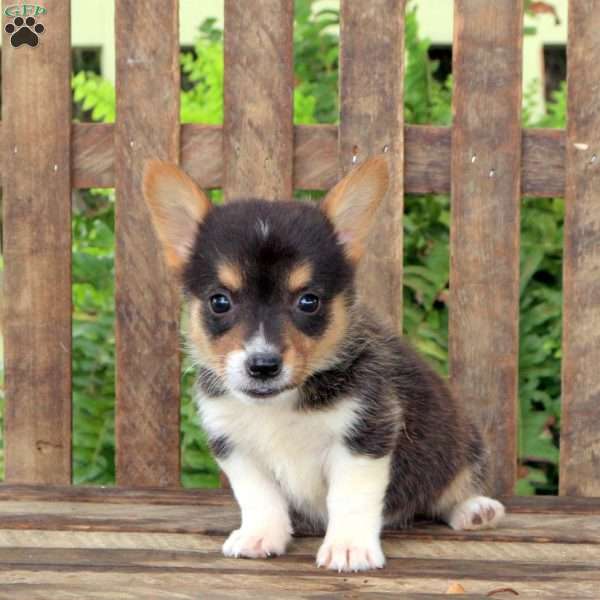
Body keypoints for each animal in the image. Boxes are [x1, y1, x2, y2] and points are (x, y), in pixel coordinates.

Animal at [143, 157, 504, 576]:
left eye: (308, 301)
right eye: (220, 301)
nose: (262, 365)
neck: (279, 406)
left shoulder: (365, 436)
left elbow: (350, 498)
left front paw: (348, 548)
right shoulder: (234, 446)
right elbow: (258, 496)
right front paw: (260, 536)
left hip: (460, 446)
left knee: (451, 488)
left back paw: (474, 509)